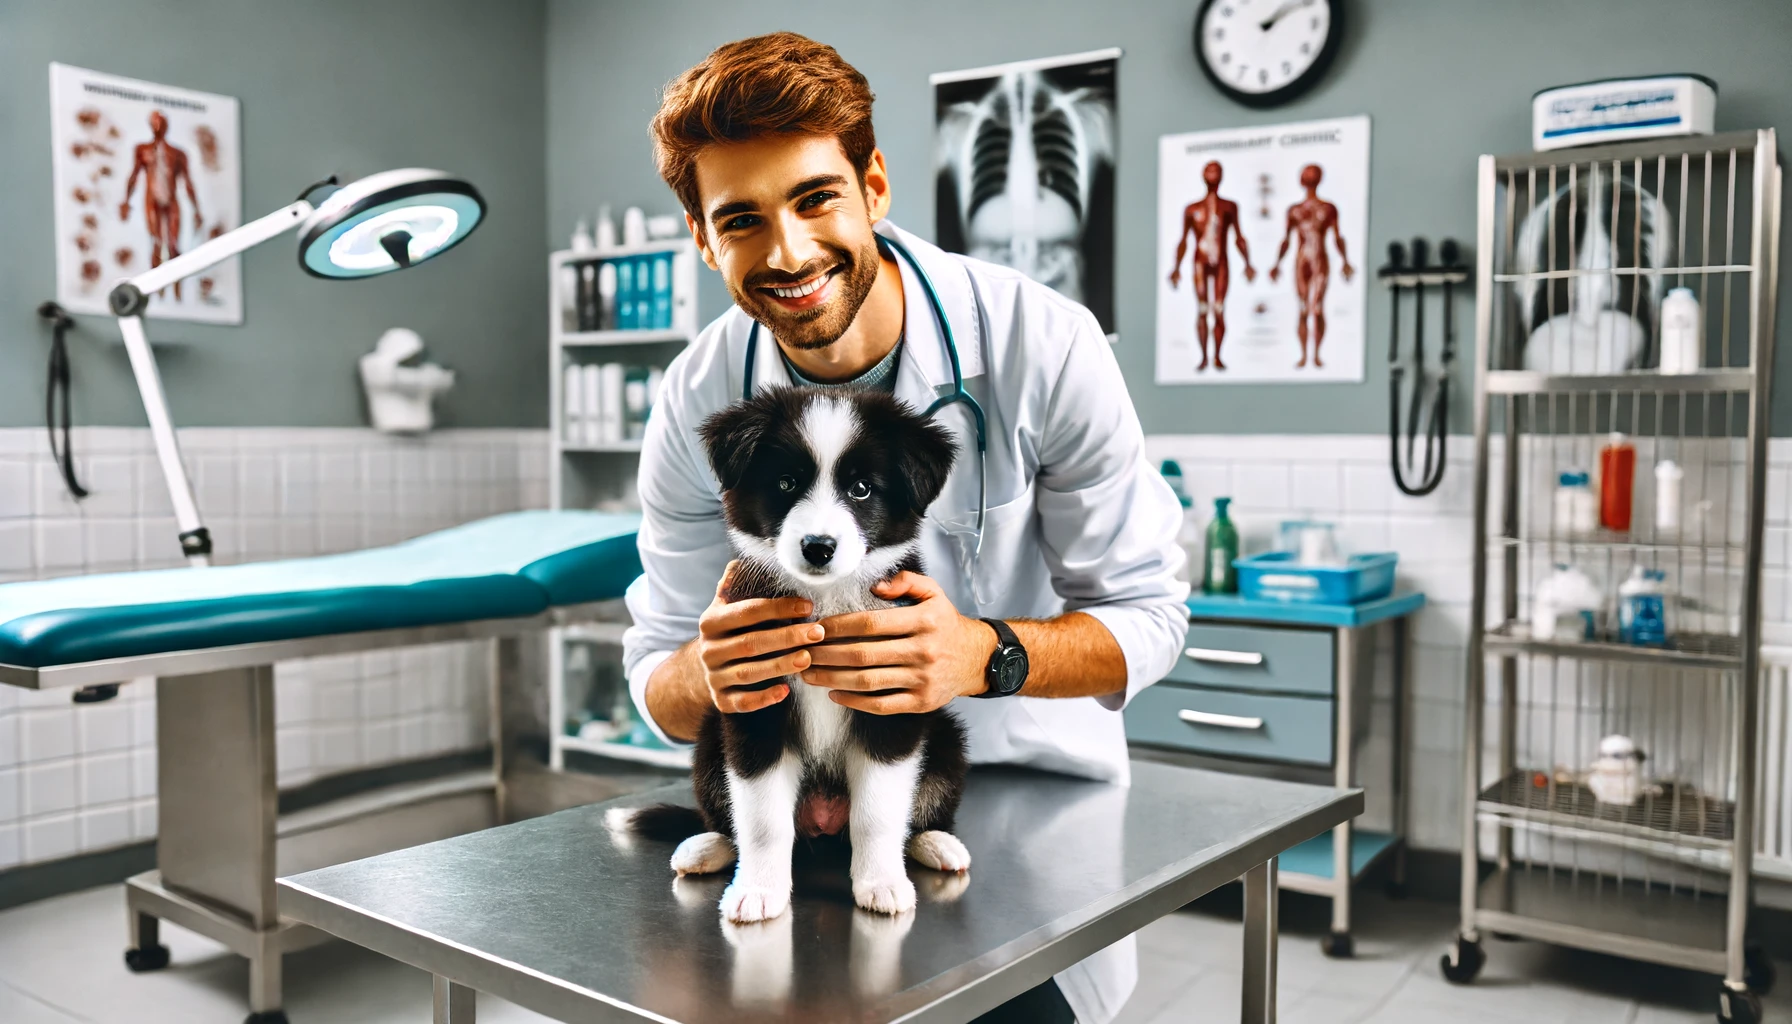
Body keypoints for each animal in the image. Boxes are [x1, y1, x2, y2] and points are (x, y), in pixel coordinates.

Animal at [605, 389, 974, 925]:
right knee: (735, 818)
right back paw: (706, 848)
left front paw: (881, 883)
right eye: (786, 483)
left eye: (862, 489)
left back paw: (936, 844)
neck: (823, 599)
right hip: (711, 737)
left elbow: (879, 812)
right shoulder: (753, 700)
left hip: (944, 732)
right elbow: (763, 819)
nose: (818, 547)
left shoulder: (892, 695)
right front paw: (758, 891)